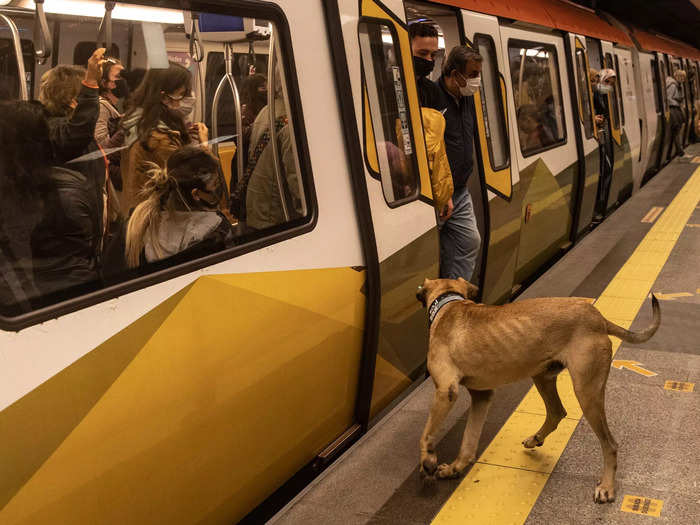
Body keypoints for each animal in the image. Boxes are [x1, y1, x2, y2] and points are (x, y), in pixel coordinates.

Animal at [416, 276, 660, 502]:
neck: (447, 303)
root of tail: (598, 318)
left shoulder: (446, 390)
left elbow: (426, 433)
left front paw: (428, 461)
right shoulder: (482, 396)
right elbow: (468, 442)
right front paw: (453, 469)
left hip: (587, 391)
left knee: (610, 444)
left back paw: (607, 486)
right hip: (543, 376)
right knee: (557, 412)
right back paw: (536, 438)